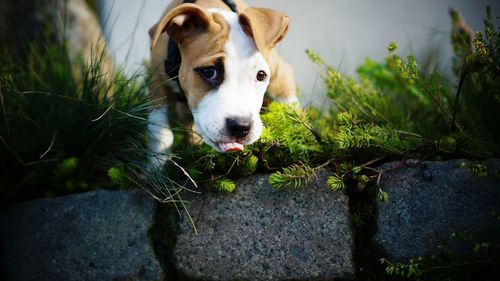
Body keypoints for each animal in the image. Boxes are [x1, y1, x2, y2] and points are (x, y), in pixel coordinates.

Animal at [147, 0, 296, 166]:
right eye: (209, 72)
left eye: (261, 75)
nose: (241, 127)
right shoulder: (157, 86)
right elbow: (160, 134)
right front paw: (156, 168)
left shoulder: (281, 77)